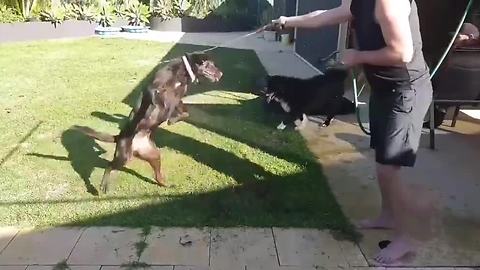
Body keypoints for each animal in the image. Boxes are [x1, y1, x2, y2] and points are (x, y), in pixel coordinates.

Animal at [74, 53, 223, 192]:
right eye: (210, 65)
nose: (221, 74)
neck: (183, 72)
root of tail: (120, 137)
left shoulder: (178, 98)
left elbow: (184, 112)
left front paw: (171, 119)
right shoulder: (153, 88)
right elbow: (158, 101)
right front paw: (163, 113)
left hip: (154, 156)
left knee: (156, 175)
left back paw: (166, 185)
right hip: (123, 156)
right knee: (109, 166)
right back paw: (102, 186)